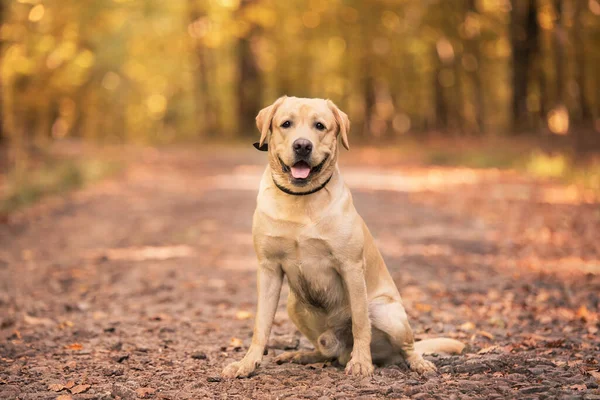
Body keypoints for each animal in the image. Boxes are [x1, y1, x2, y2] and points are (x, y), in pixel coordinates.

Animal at [221, 97, 464, 378]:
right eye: (286, 124)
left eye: (319, 126)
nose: (302, 145)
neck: (300, 200)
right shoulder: (268, 268)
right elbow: (261, 324)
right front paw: (247, 363)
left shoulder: (351, 267)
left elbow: (360, 323)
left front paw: (361, 363)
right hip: (294, 305)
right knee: (326, 350)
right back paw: (302, 355)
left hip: (385, 311)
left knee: (407, 346)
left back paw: (415, 363)